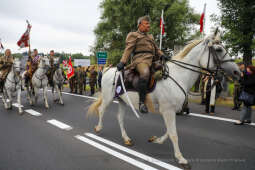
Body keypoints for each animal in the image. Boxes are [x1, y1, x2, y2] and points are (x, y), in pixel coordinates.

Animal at [87, 30, 239, 169]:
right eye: (218, 49)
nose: (237, 72)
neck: (179, 75)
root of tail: (108, 70)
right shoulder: (168, 110)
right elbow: (173, 134)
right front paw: (181, 159)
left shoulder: (171, 110)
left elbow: (169, 131)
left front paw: (156, 140)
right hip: (108, 98)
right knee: (102, 110)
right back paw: (99, 128)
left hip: (123, 101)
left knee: (120, 118)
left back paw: (126, 139)